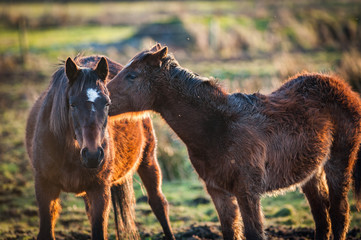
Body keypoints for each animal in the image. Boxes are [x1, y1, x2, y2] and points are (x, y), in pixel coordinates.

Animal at [25, 54, 174, 240]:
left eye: (107, 104)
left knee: (158, 203)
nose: (93, 155)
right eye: (72, 104)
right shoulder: (44, 187)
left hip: (148, 159)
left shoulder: (99, 189)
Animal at [107, 44, 360, 239]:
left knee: (339, 212)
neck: (218, 128)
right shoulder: (218, 191)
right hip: (311, 172)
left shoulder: (247, 191)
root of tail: (342, 86)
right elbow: (230, 231)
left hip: (339, 162)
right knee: (321, 216)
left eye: (132, 75)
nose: (103, 98)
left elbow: (254, 233)